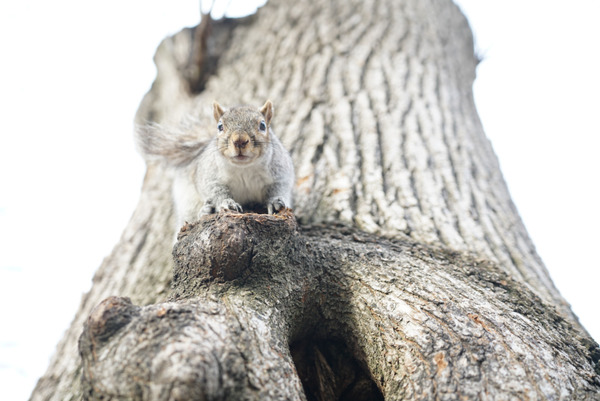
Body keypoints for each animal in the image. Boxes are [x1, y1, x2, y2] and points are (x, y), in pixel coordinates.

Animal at [137, 100, 296, 230]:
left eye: (262, 125)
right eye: (220, 126)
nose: (239, 141)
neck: (244, 168)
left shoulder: (280, 172)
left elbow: (279, 188)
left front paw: (275, 202)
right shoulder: (209, 176)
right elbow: (215, 191)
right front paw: (227, 203)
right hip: (187, 203)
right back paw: (205, 211)